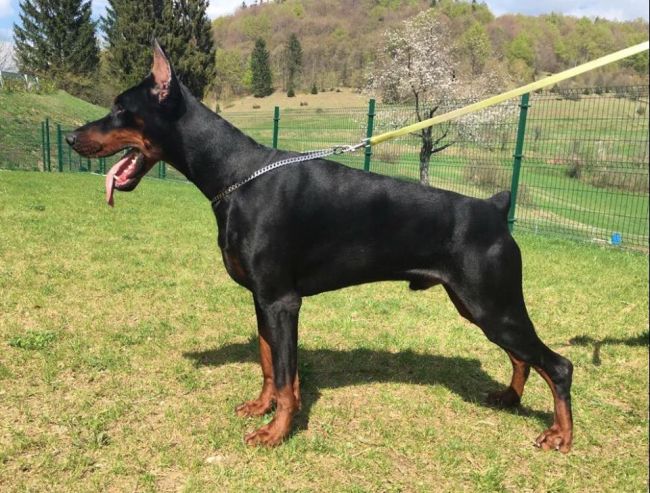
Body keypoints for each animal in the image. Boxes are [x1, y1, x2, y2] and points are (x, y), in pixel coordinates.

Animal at [67, 41, 573, 451]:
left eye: (120, 108)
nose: (71, 137)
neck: (235, 175)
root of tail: (494, 206)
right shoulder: (262, 299)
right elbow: (270, 366)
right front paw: (261, 409)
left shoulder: (282, 300)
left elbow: (286, 376)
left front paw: (275, 433)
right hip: (477, 306)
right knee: (523, 357)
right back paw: (509, 397)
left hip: (492, 303)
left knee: (558, 364)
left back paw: (560, 435)